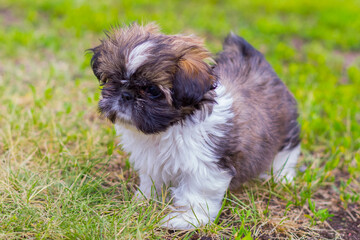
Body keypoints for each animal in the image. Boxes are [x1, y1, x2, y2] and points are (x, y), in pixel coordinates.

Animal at [89, 23, 300, 230]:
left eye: (152, 90)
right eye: (113, 79)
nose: (125, 95)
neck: (169, 128)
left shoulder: (206, 166)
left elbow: (196, 194)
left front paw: (185, 219)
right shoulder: (153, 161)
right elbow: (152, 180)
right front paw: (144, 201)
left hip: (286, 129)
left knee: (286, 152)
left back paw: (280, 176)